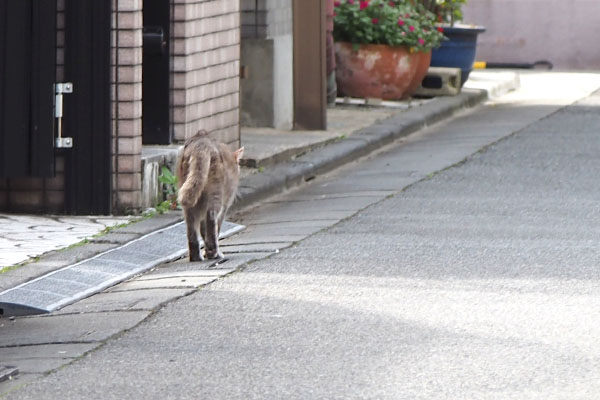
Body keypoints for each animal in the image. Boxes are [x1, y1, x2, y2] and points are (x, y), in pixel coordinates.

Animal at [176, 131, 244, 260]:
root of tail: (201, 143)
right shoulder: (225, 204)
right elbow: (216, 227)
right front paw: (210, 251)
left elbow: (203, 229)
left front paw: (206, 251)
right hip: (216, 191)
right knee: (212, 218)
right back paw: (214, 252)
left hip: (189, 192)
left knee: (191, 227)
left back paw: (196, 257)